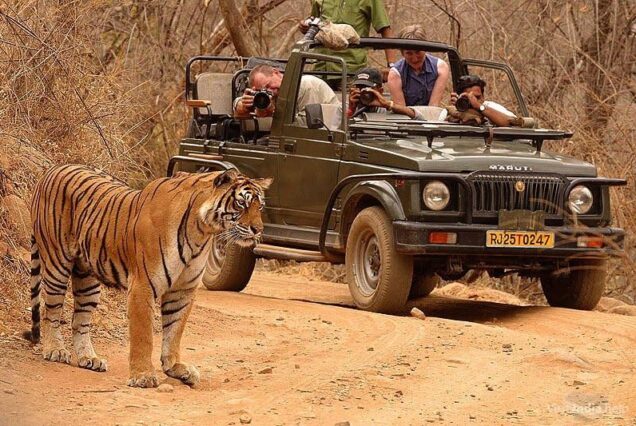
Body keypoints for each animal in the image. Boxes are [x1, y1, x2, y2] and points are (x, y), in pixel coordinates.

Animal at [25, 165, 270, 388]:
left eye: (260, 206)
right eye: (241, 203)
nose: (258, 230)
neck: (201, 231)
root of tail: (51, 170)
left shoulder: (182, 290)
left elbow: (174, 331)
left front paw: (175, 368)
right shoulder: (143, 285)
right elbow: (144, 335)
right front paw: (143, 376)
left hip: (87, 278)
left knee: (80, 319)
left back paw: (89, 358)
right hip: (56, 264)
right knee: (50, 311)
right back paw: (55, 350)